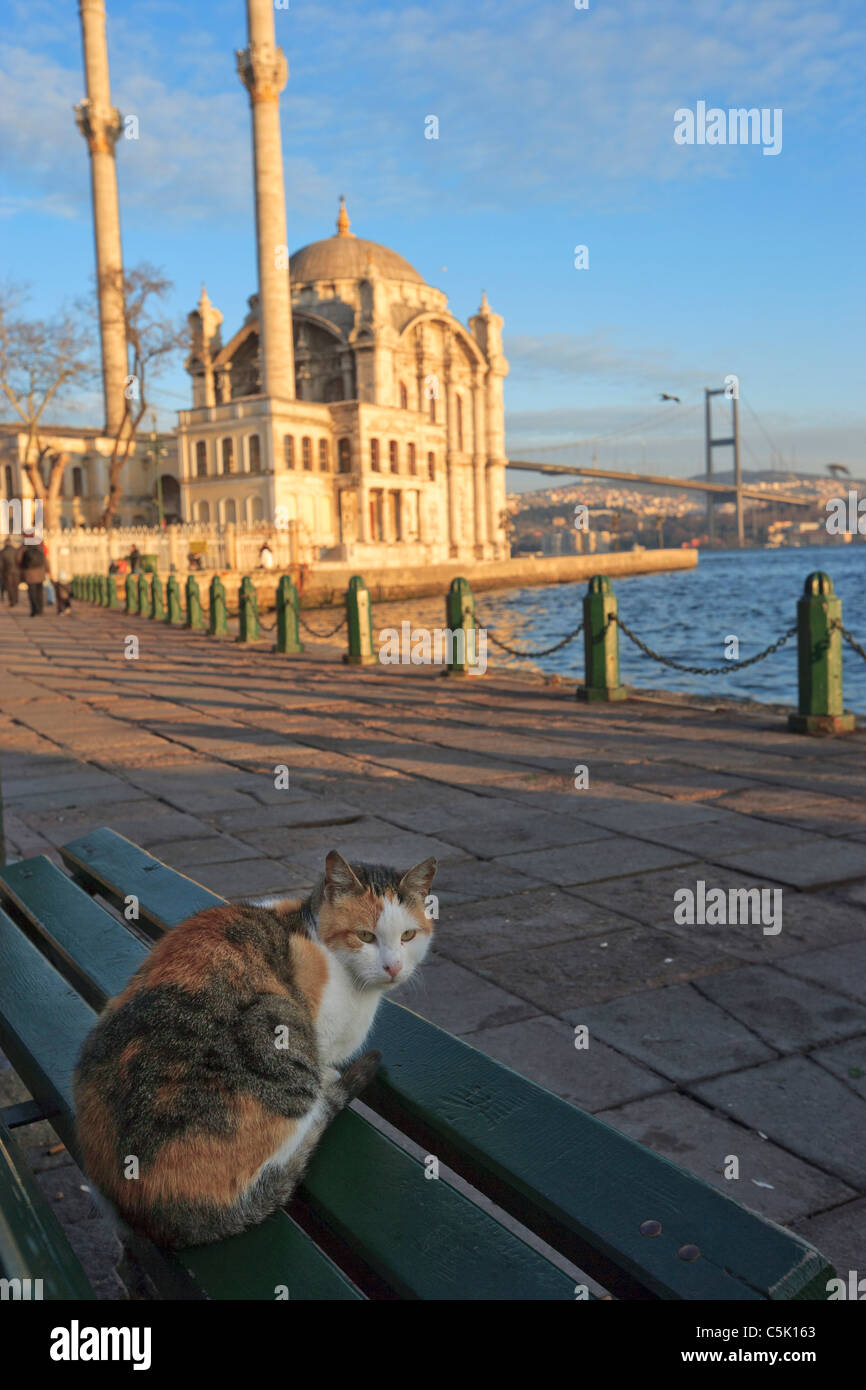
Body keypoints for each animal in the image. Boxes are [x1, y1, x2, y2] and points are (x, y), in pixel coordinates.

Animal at [73, 845, 436, 1251]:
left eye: (408, 935)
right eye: (365, 936)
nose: (393, 967)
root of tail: (145, 1209)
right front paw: (331, 1074)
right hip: (276, 1027)